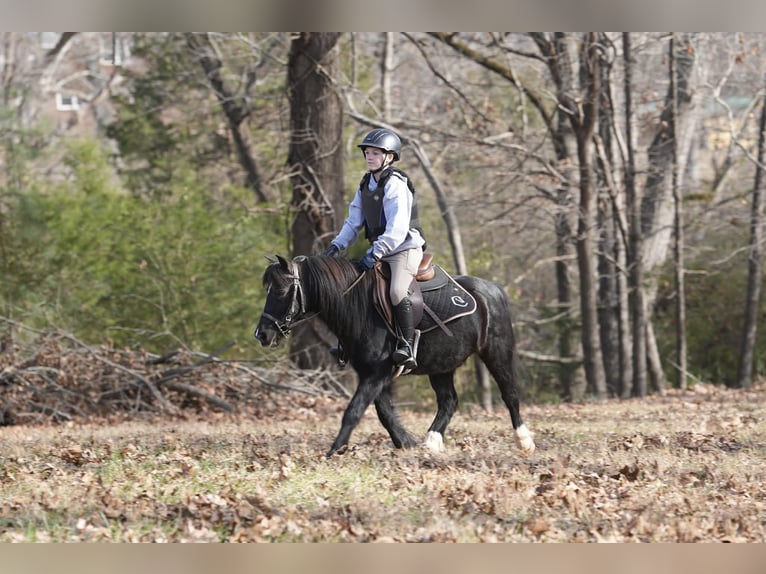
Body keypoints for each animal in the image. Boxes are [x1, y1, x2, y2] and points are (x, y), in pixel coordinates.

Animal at [254, 254, 535, 458]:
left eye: (281, 291)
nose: (262, 335)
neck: (360, 307)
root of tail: (494, 290)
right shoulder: (372, 373)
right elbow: (384, 412)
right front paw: (406, 442)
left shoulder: (377, 372)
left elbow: (354, 411)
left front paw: (333, 451)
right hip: (442, 365)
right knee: (448, 401)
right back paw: (431, 442)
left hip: (497, 352)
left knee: (509, 394)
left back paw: (524, 441)